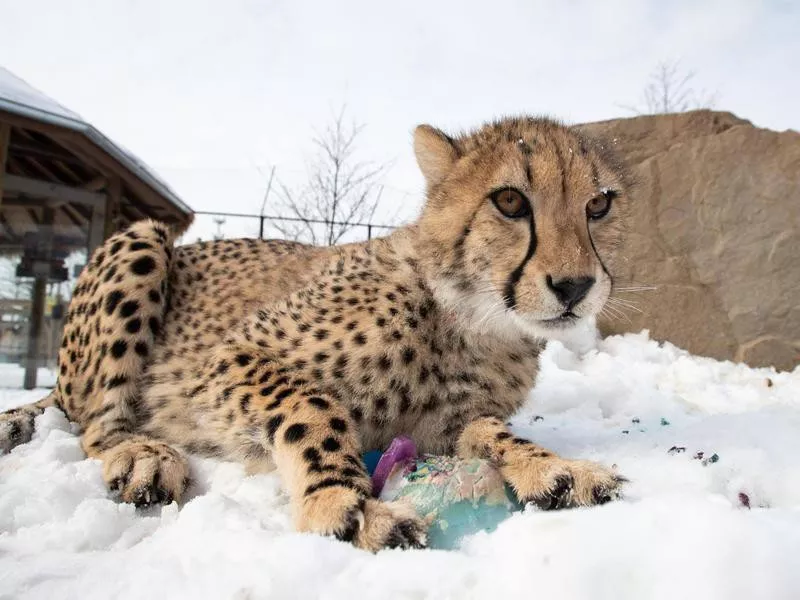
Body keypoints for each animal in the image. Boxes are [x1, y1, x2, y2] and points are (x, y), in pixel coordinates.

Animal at [3, 116, 632, 548]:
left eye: (598, 206)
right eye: (509, 201)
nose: (574, 285)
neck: (474, 320)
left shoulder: (447, 424)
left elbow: (490, 433)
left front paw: (553, 467)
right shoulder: (231, 357)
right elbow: (312, 404)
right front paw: (348, 505)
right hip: (142, 241)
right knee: (94, 425)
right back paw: (144, 454)